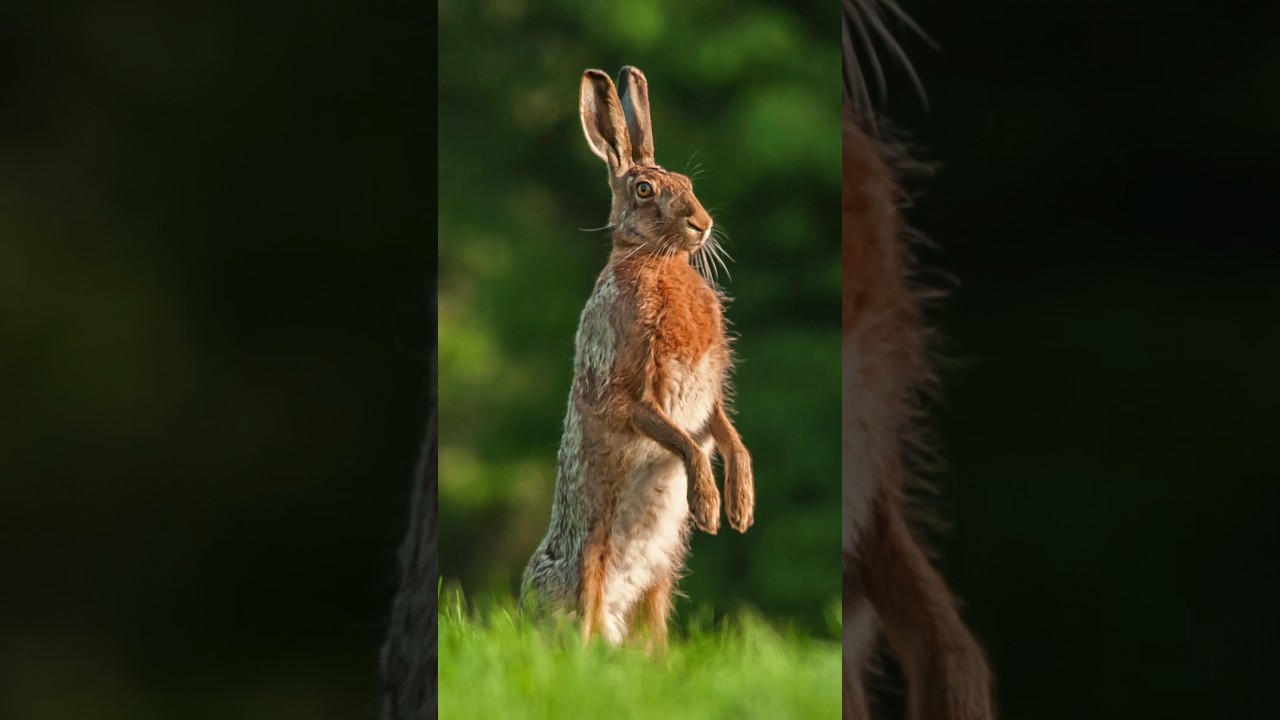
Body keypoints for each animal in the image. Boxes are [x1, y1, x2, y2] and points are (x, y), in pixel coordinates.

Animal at [521, 66, 754, 650]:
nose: (702, 224)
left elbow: (726, 434)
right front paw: (709, 507)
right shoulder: (629, 392)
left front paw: (740, 505)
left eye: (689, 184)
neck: (657, 262)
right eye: (645, 190)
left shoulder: (707, 397)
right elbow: (684, 442)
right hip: (586, 567)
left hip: (662, 577)